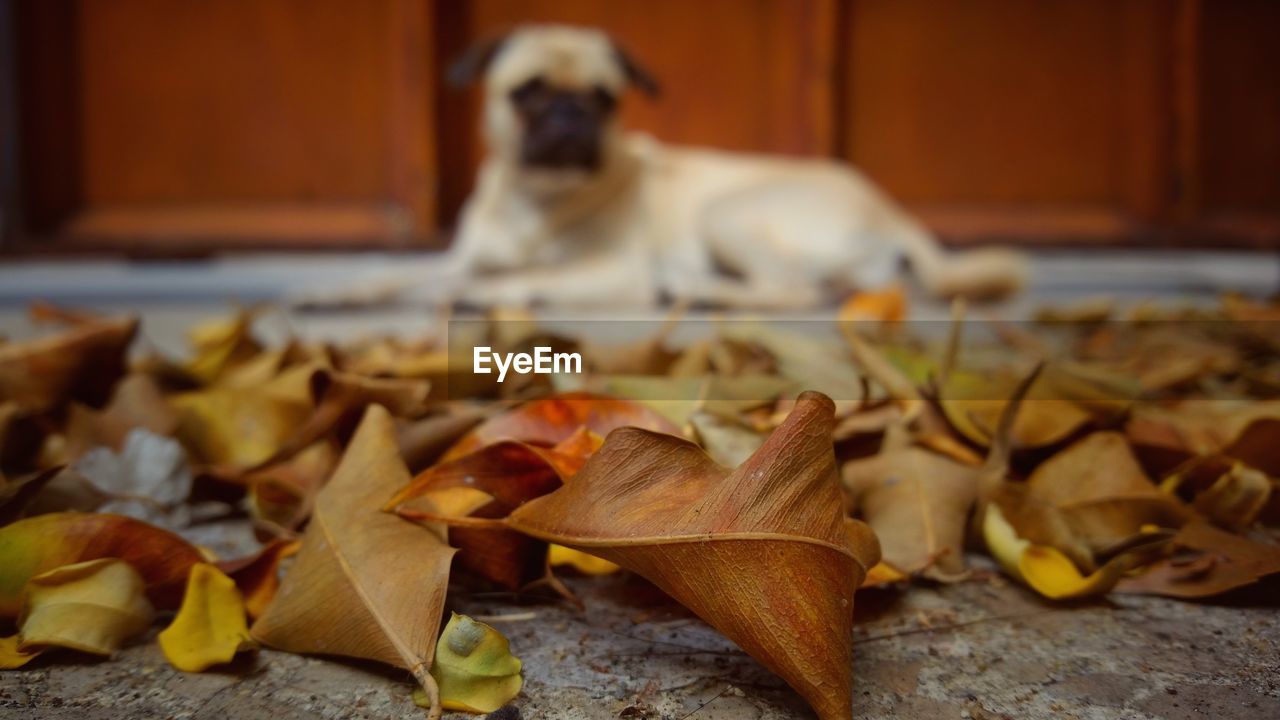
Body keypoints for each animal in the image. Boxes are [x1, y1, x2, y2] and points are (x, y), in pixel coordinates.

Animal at [445, 23, 1024, 304]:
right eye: (527, 92)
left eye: (604, 98)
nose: (570, 112)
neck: (534, 198)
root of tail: (891, 210)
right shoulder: (460, 257)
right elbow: (444, 271)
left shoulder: (617, 268)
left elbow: (530, 274)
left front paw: (488, 291)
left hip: (724, 213)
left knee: (797, 290)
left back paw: (701, 292)